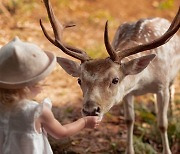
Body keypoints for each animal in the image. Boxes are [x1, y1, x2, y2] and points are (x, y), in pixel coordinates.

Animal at [39, 0, 180, 153]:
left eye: (115, 80)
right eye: (79, 80)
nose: (90, 110)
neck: (143, 82)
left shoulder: (162, 86)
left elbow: (162, 124)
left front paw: (167, 150)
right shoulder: (127, 93)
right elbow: (129, 120)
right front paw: (129, 150)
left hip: (172, 77)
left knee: (172, 90)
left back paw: (173, 115)